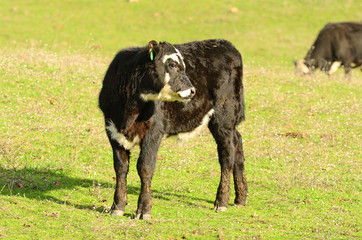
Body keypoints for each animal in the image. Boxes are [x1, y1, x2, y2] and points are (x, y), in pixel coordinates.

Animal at [98, 39, 249, 219]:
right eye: (172, 64)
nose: (192, 90)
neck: (129, 110)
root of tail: (223, 44)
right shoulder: (112, 130)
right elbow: (120, 168)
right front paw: (117, 206)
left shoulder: (154, 132)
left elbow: (145, 167)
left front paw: (144, 210)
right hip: (227, 123)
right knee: (237, 143)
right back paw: (240, 198)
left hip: (224, 117)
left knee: (227, 155)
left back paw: (221, 201)